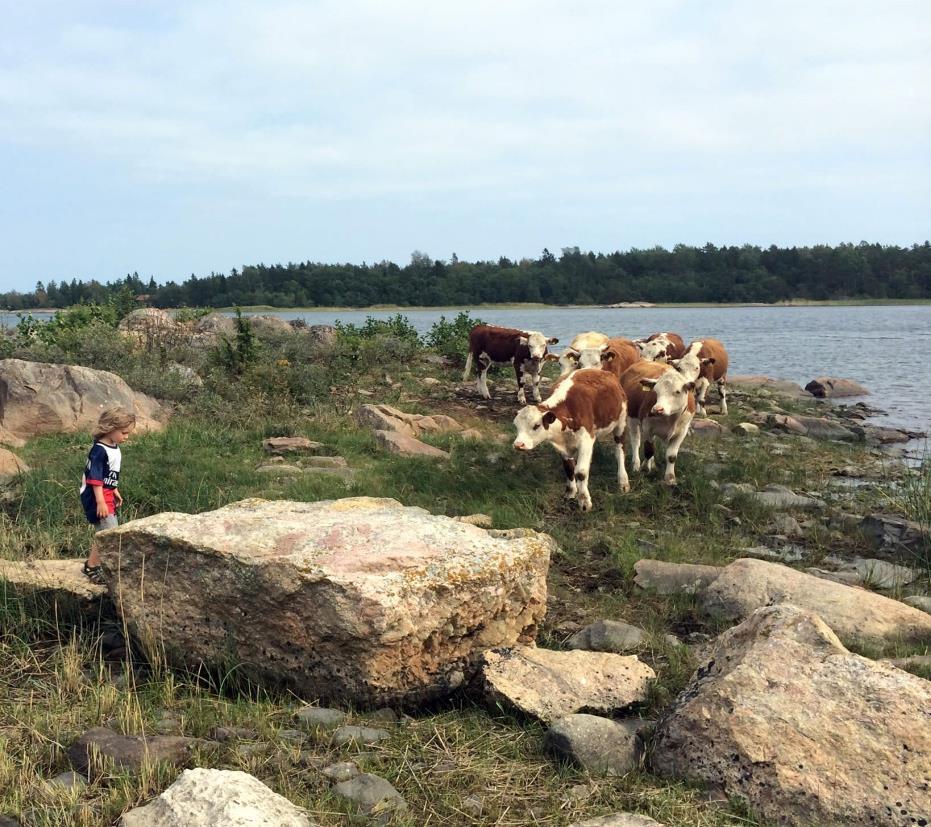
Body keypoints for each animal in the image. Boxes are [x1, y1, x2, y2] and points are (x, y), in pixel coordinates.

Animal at [512, 368, 628, 512]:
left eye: (536, 425)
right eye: (516, 426)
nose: (518, 444)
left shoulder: (586, 440)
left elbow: (581, 472)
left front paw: (584, 501)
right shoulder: (563, 446)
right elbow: (569, 468)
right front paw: (571, 491)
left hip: (621, 424)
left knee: (620, 452)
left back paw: (623, 481)